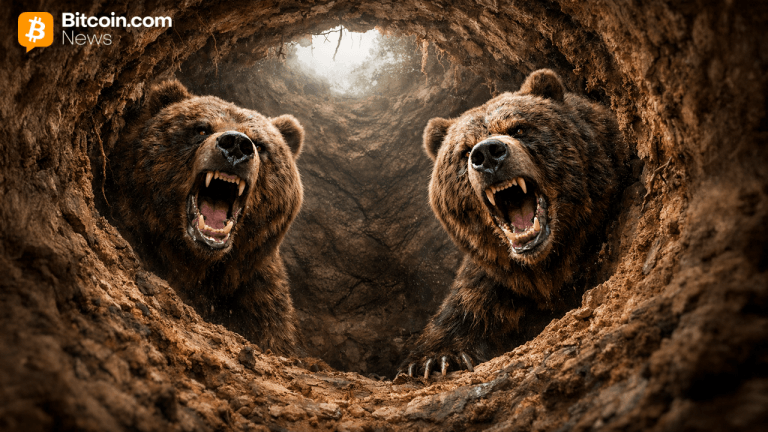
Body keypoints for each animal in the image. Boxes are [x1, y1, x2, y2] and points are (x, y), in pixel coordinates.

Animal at [400, 69, 627, 377]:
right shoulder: (496, 283)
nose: (487, 154)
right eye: (465, 150)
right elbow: (461, 315)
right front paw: (435, 360)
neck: (546, 269)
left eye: (518, 128)